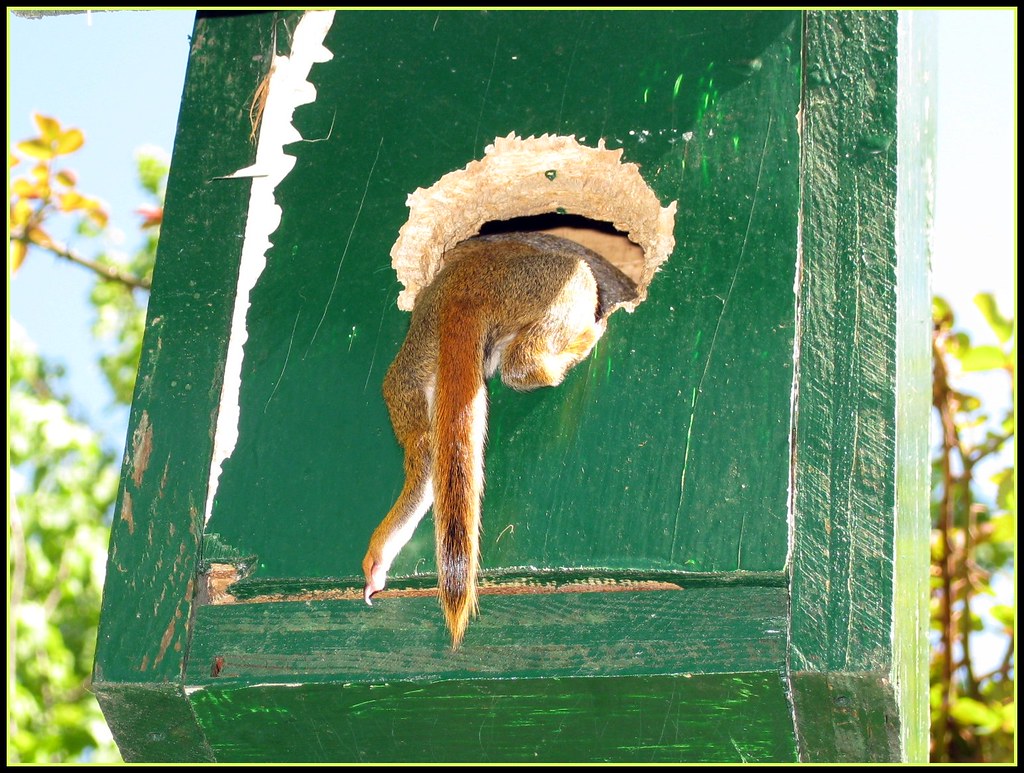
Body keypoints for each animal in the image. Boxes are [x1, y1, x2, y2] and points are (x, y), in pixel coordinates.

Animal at [362, 231, 637, 647]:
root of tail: (464, 284)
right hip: (534, 283)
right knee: (555, 311)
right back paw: (575, 344)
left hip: (410, 369)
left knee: (424, 453)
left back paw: (382, 549)